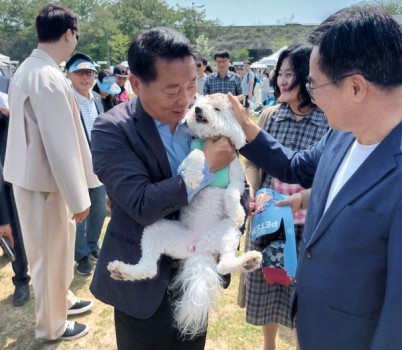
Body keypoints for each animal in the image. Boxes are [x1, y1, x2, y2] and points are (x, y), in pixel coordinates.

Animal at [108, 94, 262, 338]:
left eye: (216, 108)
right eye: (199, 104)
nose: (197, 109)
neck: (211, 138)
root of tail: (197, 249)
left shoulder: (238, 179)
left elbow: (232, 192)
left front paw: (237, 211)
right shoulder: (190, 156)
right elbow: (197, 155)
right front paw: (192, 177)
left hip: (228, 232)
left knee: (224, 265)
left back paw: (249, 261)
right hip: (156, 230)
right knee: (149, 268)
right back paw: (121, 271)